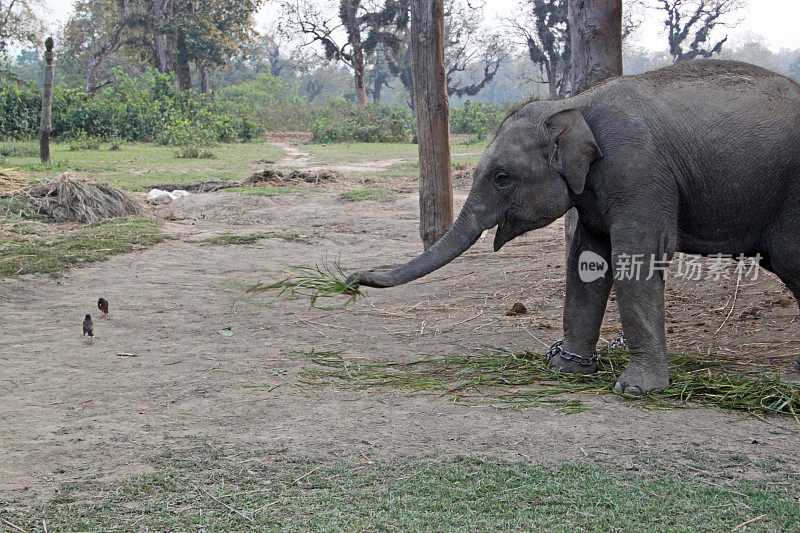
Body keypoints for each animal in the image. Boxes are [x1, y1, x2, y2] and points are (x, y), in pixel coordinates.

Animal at [348, 59, 800, 394]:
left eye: (502, 178)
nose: (350, 279)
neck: (573, 103)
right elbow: (587, 260)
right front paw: (566, 370)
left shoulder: (637, 170)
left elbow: (636, 254)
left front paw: (636, 390)